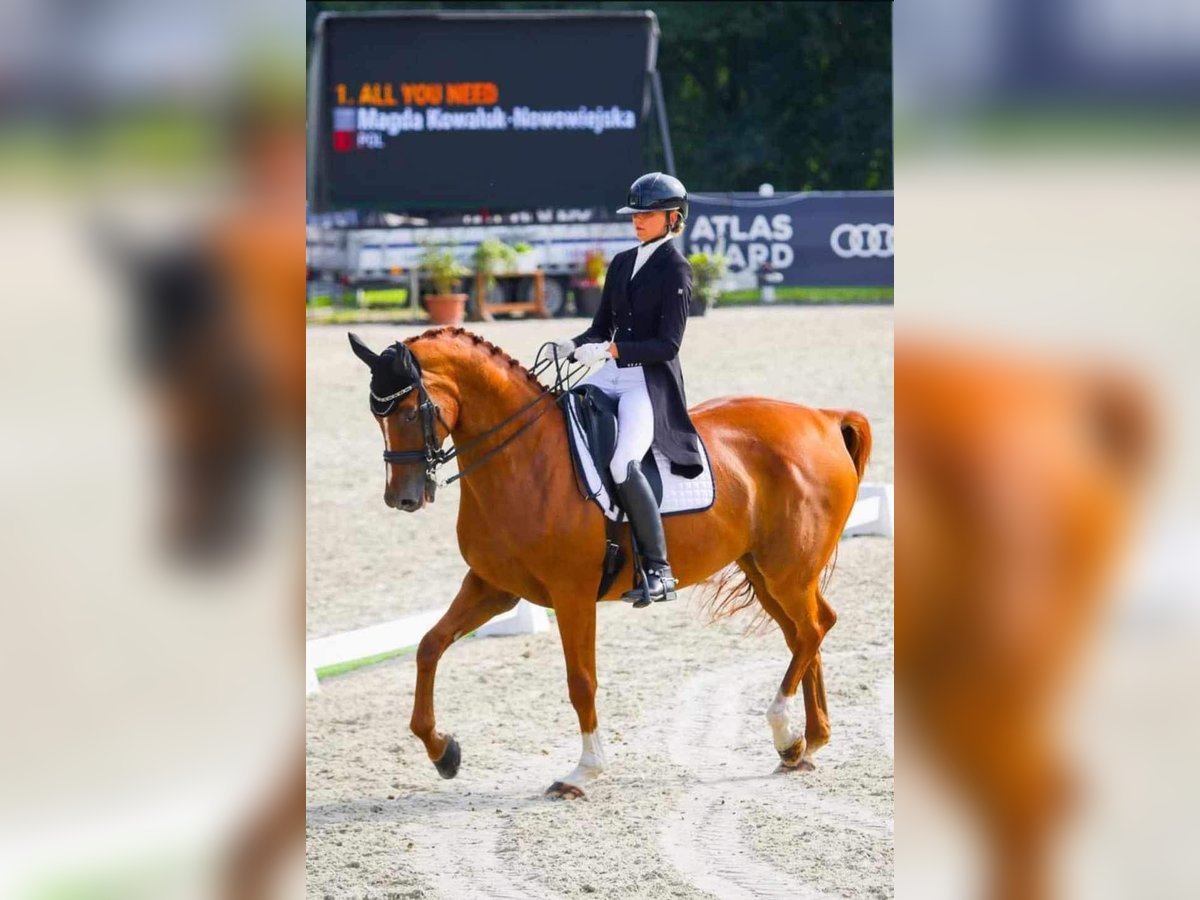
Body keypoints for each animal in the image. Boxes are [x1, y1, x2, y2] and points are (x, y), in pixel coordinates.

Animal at [350, 328, 873, 801]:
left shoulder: (572, 594)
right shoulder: (493, 587)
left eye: (412, 410)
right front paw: (444, 751)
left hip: (786, 571)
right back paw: (805, 744)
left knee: (813, 628)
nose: (402, 498)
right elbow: (429, 646)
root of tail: (824, 418)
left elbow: (581, 681)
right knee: (806, 633)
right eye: (376, 416)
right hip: (765, 571)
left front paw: (584, 771)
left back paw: (784, 730)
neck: (524, 458)